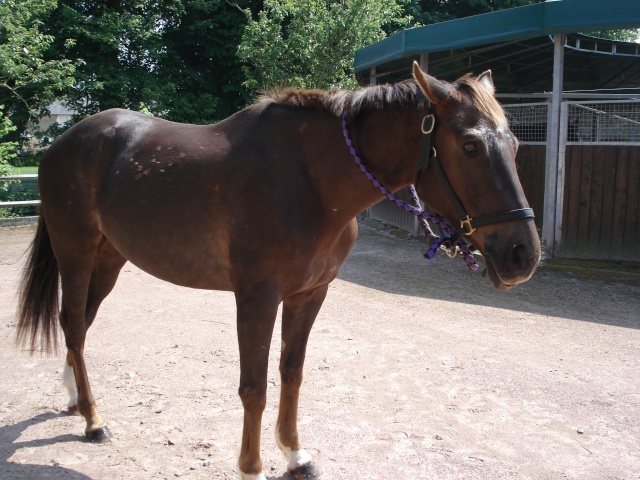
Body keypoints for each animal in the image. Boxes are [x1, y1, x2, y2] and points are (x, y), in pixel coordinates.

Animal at [16, 64, 540, 480]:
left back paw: (74, 400)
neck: (310, 181)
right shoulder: (257, 297)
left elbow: (292, 373)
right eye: (469, 146)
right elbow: (254, 387)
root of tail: (63, 143)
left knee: (79, 324)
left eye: (514, 141)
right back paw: (93, 420)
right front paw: (252, 468)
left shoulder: (310, 294)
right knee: (73, 326)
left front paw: (295, 454)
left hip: (109, 258)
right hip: (76, 253)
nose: (523, 255)